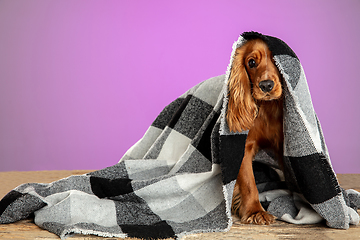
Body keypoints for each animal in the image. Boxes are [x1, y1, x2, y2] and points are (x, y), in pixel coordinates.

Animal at [228, 38, 284, 224]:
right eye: (251, 62)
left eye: (277, 60)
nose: (266, 85)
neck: (267, 109)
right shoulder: (244, 147)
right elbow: (248, 183)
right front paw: (255, 211)